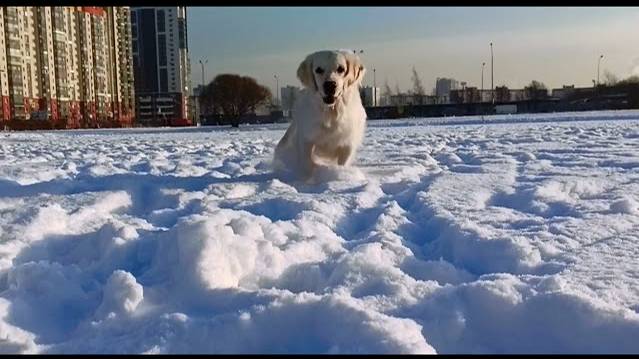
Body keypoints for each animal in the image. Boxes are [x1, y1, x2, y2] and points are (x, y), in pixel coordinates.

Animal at [272, 49, 368, 181]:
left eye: (341, 69)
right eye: (318, 70)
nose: (330, 85)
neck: (330, 112)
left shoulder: (347, 144)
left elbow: (343, 162)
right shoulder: (306, 139)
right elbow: (307, 163)